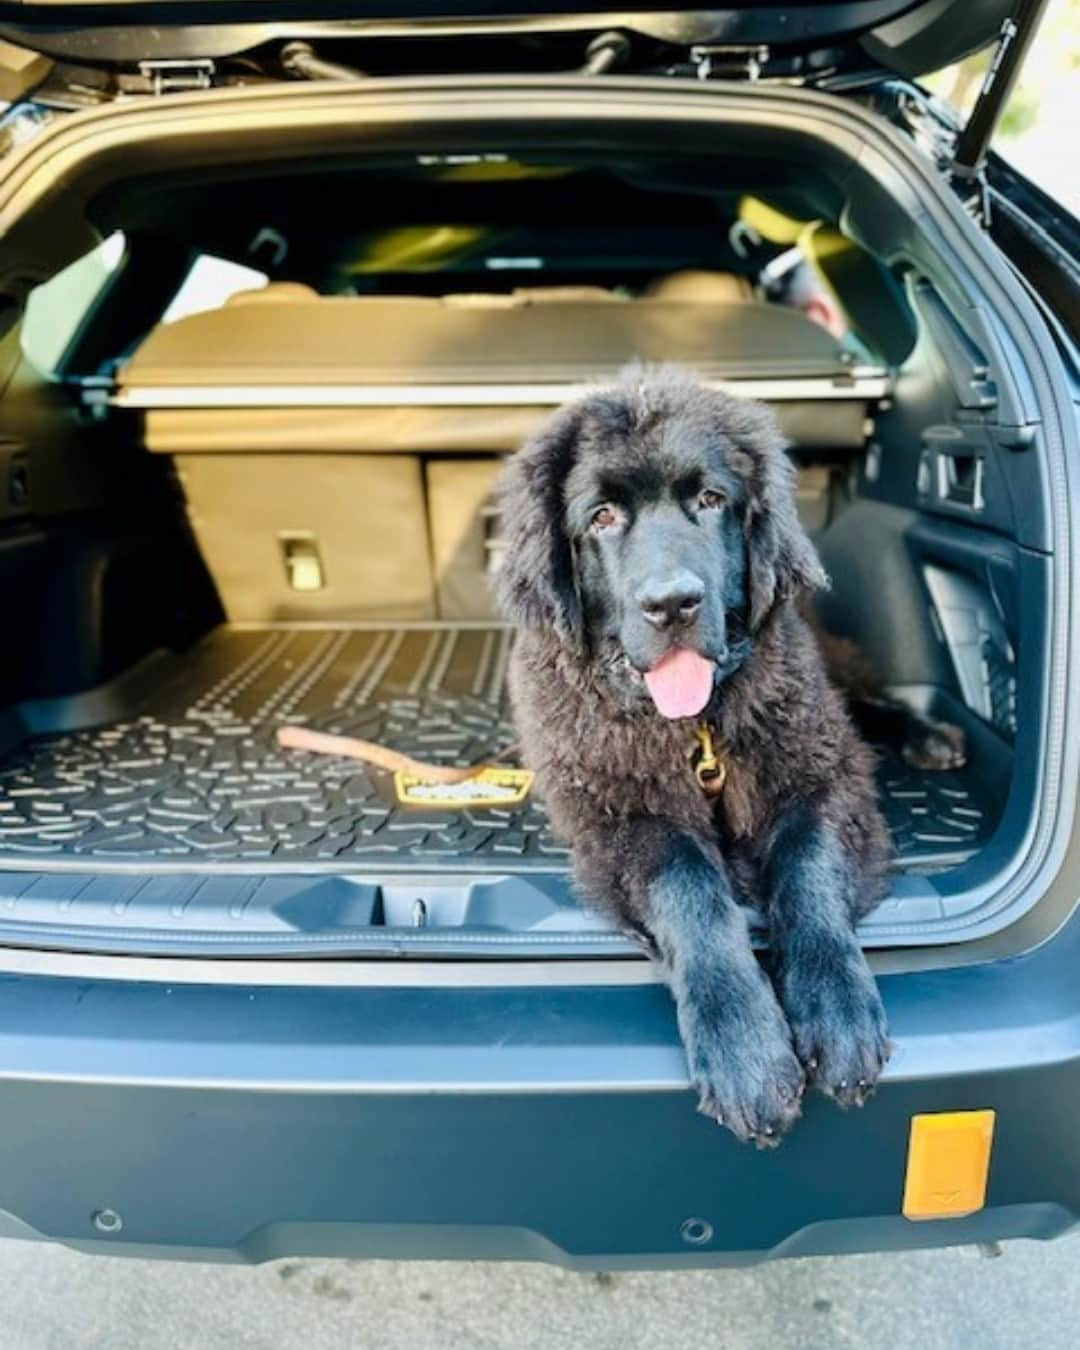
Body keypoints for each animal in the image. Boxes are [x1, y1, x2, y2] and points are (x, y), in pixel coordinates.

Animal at [496, 369, 896, 1150]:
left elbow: (807, 862)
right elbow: (689, 884)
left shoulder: (822, 773)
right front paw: (746, 1052)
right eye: (601, 518)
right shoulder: (619, 817)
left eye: (711, 501)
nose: (672, 602)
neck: (693, 727)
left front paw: (837, 1008)